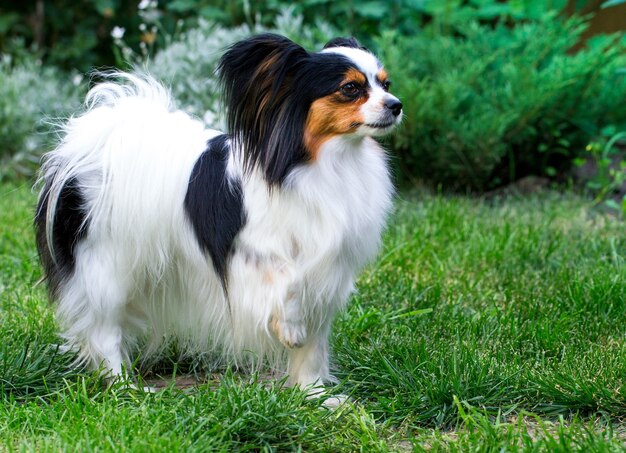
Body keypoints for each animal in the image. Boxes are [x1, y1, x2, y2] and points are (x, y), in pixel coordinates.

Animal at [34, 34, 402, 396]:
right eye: (350, 88)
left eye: (386, 84)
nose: (396, 104)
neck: (324, 162)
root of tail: (94, 146)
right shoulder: (246, 252)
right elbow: (288, 280)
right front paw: (290, 328)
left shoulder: (328, 271)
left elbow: (312, 344)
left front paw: (314, 394)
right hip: (107, 269)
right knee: (105, 331)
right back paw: (125, 386)